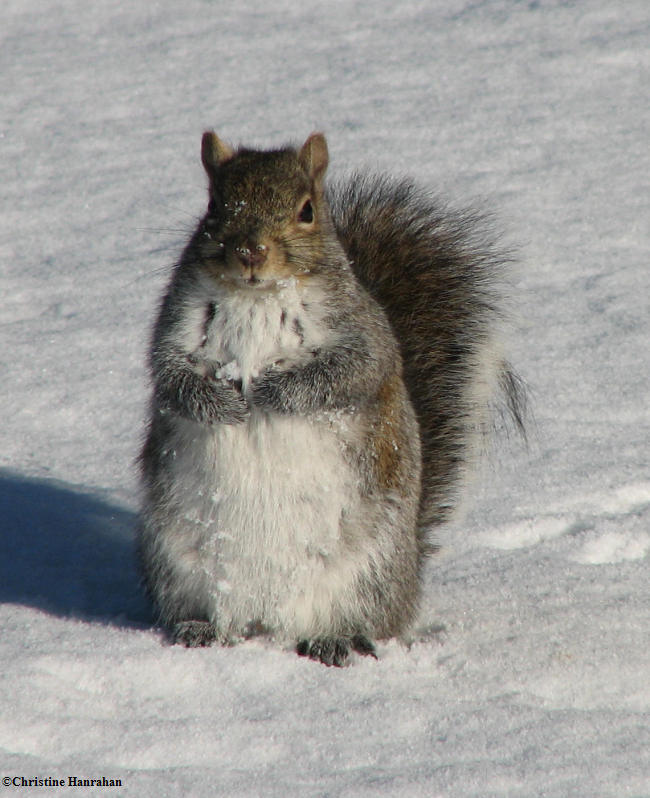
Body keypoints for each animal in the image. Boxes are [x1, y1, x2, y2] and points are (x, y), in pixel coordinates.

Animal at [135, 133, 520, 668]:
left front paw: (275, 391)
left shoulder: (362, 332)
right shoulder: (175, 324)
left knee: (358, 622)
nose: (251, 252)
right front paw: (219, 403)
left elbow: (350, 371)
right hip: (175, 561)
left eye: (307, 211)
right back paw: (200, 630)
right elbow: (170, 376)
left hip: (367, 571)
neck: (258, 295)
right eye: (214, 205)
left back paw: (334, 641)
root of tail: (267, 622)